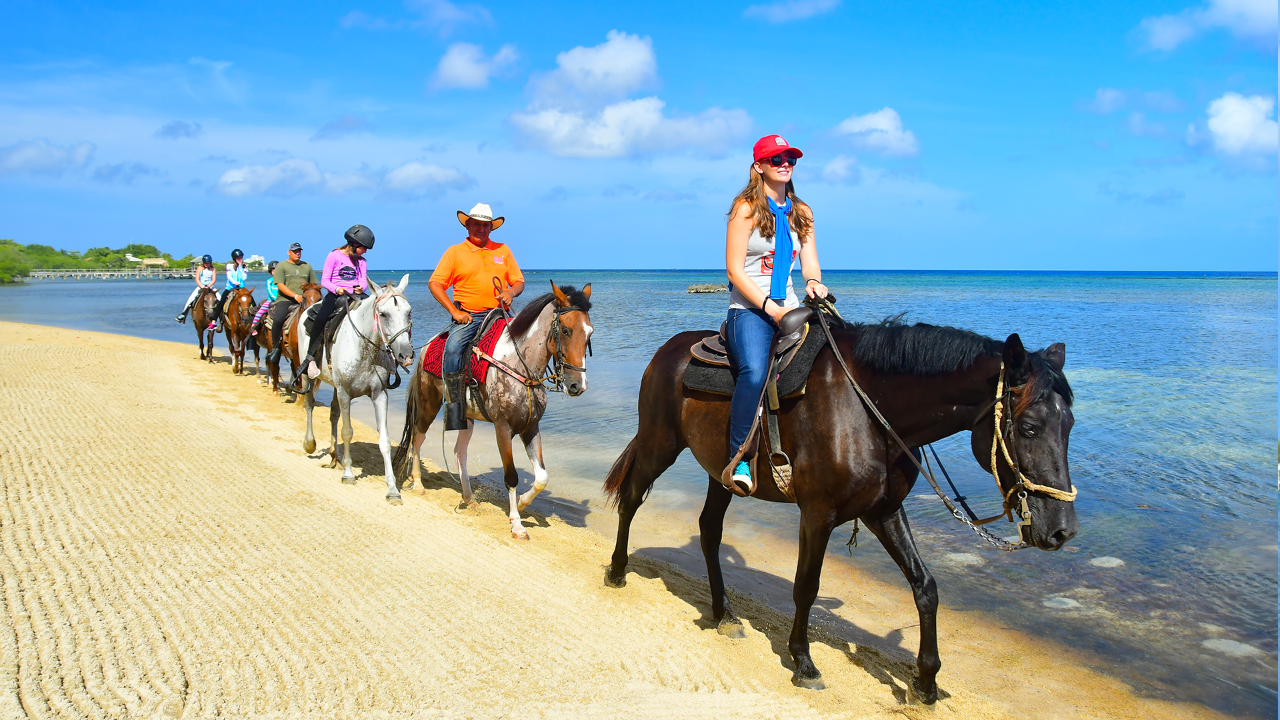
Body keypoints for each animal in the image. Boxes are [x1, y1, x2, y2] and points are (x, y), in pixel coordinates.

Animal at [295, 271, 412, 502]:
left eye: (408, 312)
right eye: (383, 314)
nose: (406, 354)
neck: (365, 349)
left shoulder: (379, 395)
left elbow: (384, 441)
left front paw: (392, 489)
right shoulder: (345, 393)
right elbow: (347, 432)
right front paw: (348, 474)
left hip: (334, 387)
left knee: (333, 414)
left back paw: (335, 456)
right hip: (308, 377)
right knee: (309, 404)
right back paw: (310, 443)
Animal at [391, 280, 591, 538]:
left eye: (590, 333)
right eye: (565, 330)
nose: (578, 386)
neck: (521, 368)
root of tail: (427, 346)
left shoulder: (531, 427)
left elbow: (542, 478)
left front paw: (523, 504)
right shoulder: (502, 428)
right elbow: (511, 476)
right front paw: (516, 524)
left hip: (466, 418)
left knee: (459, 453)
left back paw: (469, 499)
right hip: (428, 406)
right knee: (417, 438)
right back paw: (417, 484)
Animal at [601, 315, 1080, 702]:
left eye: (1070, 424)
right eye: (1029, 427)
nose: (1063, 530)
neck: (870, 411)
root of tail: (669, 349)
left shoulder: (884, 511)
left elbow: (925, 587)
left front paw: (926, 681)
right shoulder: (818, 514)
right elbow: (806, 587)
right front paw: (803, 662)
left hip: (721, 474)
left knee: (708, 530)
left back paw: (724, 614)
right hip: (660, 445)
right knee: (632, 499)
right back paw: (617, 571)